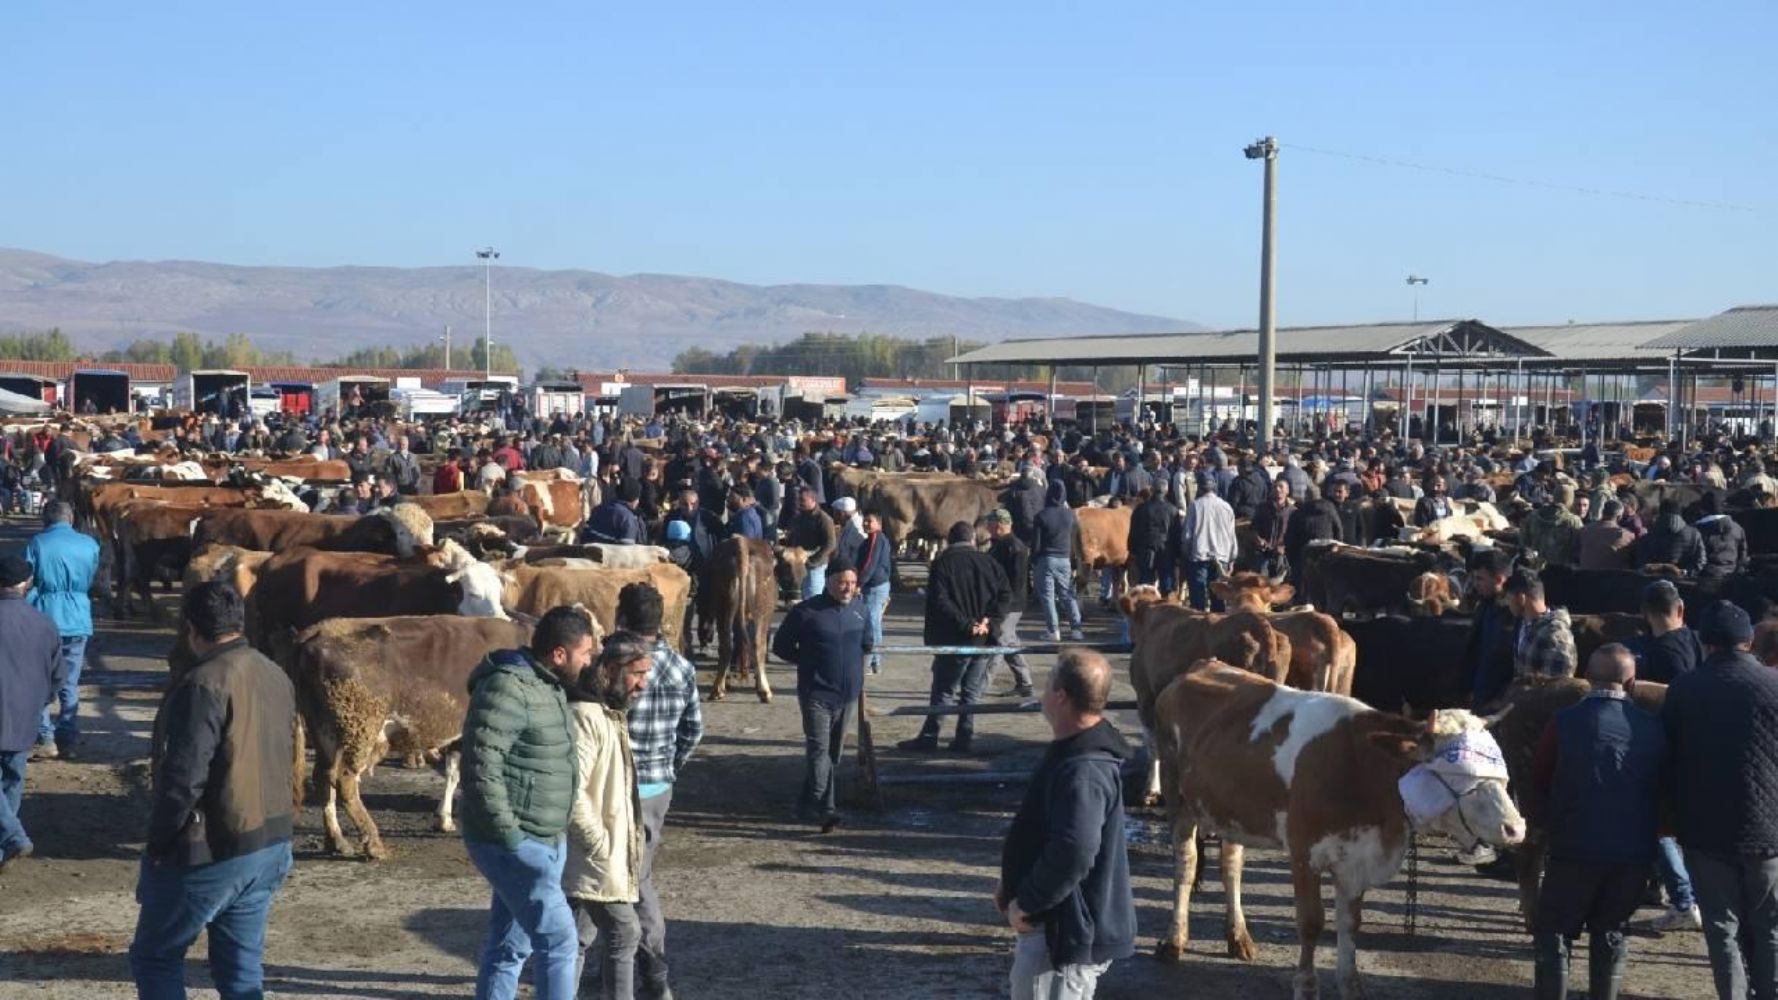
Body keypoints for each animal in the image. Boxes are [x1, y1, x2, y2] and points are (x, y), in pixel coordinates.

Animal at [696, 537, 775, 701]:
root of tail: (742, 543)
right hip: (763, 610)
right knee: (758, 644)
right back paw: (764, 691)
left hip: (724, 606)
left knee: (726, 645)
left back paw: (718, 689)